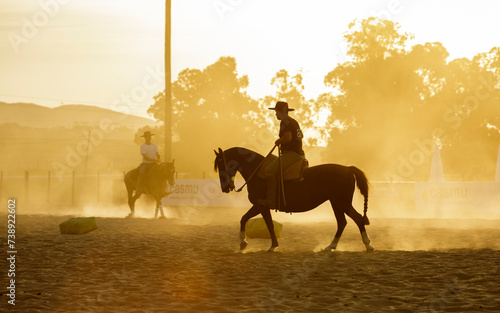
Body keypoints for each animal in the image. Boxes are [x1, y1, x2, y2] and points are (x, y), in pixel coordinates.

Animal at [213, 147, 374, 252]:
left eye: (221, 163)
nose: (225, 188)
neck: (258, 172)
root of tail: (348, 169)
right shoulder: (262, 207)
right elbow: (262, 223)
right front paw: (271, 245)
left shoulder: (260, 205)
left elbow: (249, 220)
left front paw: (244, 242)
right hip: (336, 203)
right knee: (343, 222)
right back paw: (331, 246)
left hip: (342, 203)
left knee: (357, 219)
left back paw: (367, 245)